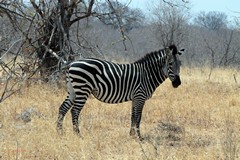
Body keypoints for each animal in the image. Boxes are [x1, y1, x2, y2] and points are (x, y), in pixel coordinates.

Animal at [56, 44, 184, 139]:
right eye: (170, 64)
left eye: (180, 64)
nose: (178, 83)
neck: (147, 74)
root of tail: (71, 64)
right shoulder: (140, 96)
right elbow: (138, 116)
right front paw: (139, 137)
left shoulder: (135, 98)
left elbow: (133, 116)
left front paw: (131, 135)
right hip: (82, 89)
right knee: (74, 111)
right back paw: (78, 135)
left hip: (73, 90)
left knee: (63, 108)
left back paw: (60, 132)